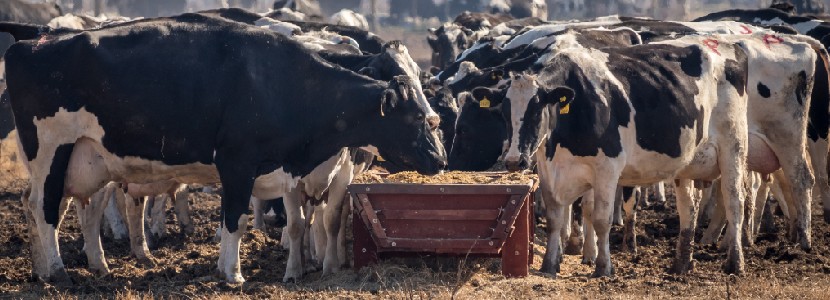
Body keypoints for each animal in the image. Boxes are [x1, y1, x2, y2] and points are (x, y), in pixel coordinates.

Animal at [1, 12, 448, 284]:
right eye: (413, 116)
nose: (441, 157)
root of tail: (35, 39)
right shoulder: (237, 162)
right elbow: (235, 218)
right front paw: (232, 273)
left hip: (82, 158)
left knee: (49, 206)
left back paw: (73, 266)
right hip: (50, 149)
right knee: (44, 209)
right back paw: (57, 270)